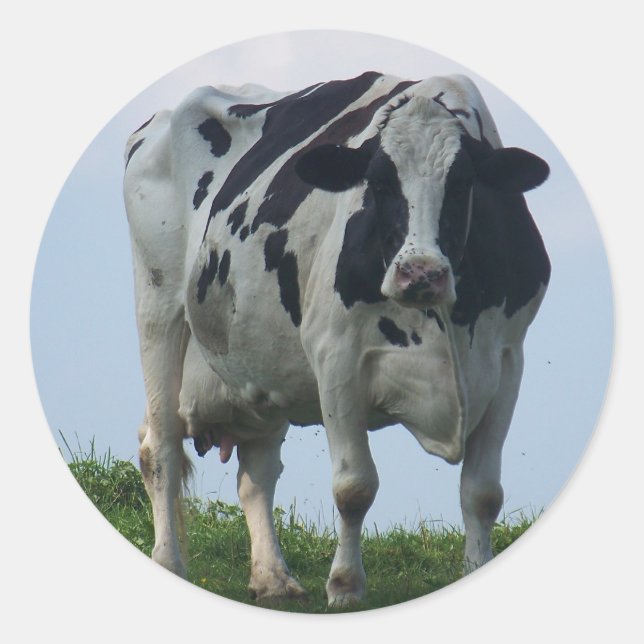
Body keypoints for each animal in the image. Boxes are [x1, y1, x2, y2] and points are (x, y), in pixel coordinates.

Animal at [123, 71, 550, 607]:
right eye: (380, 182)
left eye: (463, 183)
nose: (420, 273)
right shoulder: (337, 355)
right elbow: (354, 487)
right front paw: (345, 586)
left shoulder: (507, 360)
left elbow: (483, 492)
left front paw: (476, 570)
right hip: (158, 305)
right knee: (159, 447)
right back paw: (169, 563)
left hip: (261, 361)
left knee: (256, 473)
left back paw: (273, 577)